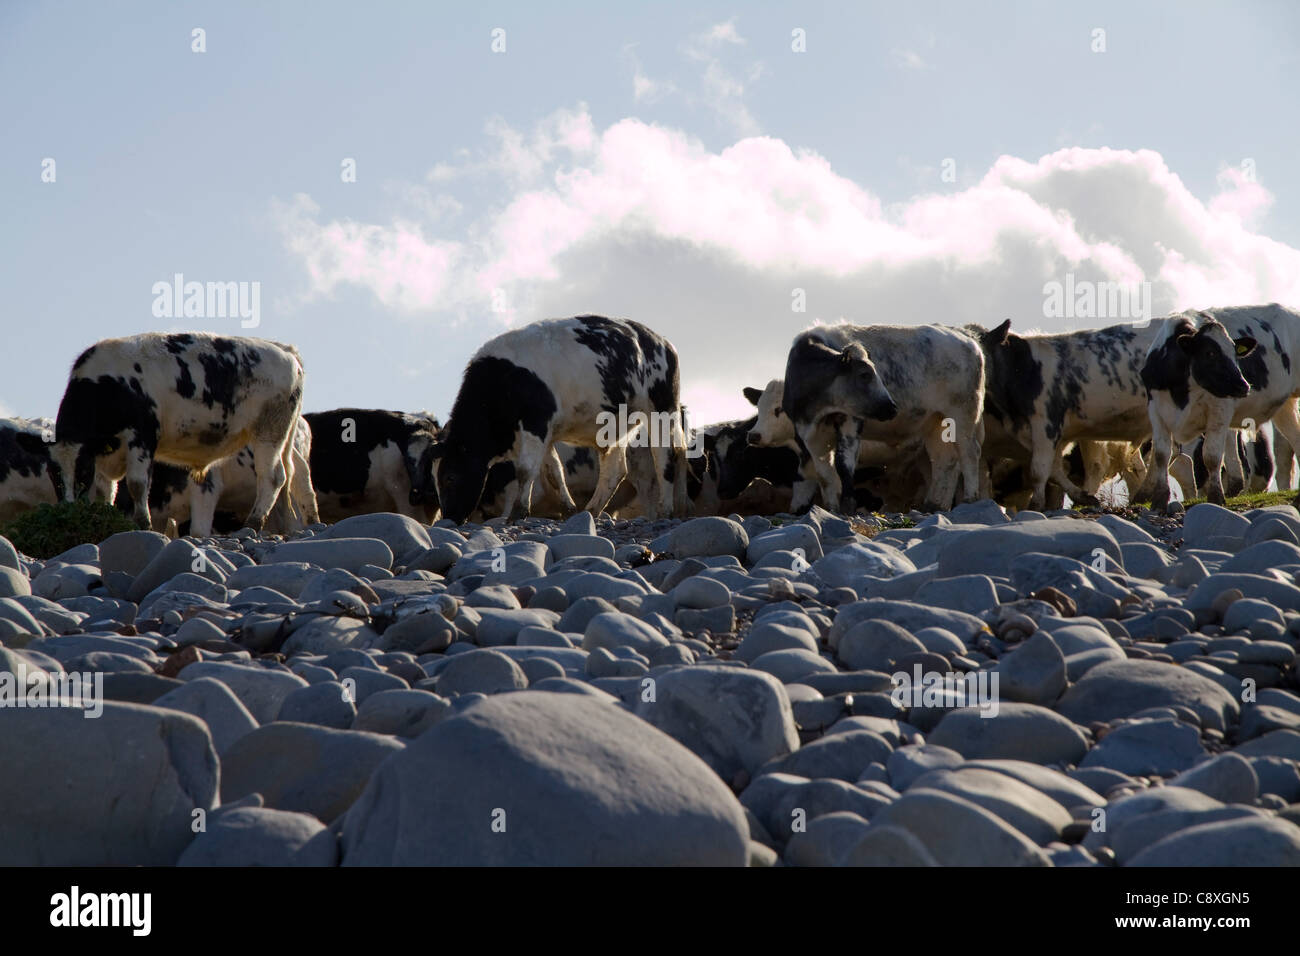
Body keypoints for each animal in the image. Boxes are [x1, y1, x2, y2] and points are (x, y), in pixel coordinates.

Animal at [31, 332, 305, 530]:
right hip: (282, 437)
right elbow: (107, 490)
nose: (68, 508)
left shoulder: (141, 437)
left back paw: (254, 523)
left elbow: (137, 484)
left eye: (82, 470)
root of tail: (285, 349)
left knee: (272, 477)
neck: (109, 385)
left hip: (268, 432)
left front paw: (143, 524)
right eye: (53, 473)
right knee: (287, 480)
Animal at [428, 316, 691, 522]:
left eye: (450, 477)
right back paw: (591, 510)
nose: (449, 518)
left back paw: (666, 510)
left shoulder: (536, 422)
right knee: (615, 470)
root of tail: (663, 342)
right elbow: (554, 472)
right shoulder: (545, 432)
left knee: (666, 457)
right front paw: (568, 508)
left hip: (661, 409)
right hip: (617, 425)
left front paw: (518, 512)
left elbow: (526, 470)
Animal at [967, 319, 1159, 515]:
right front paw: (1083, 497)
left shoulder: (1046, 426)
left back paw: (1146, 494)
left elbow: (1040, 470)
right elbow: (1054, 470)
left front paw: (1037, 506)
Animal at [1138, 308, 1300, 515]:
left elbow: (1212, 456)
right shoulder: (1156, 411)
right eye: (1210, 353)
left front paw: (1216, 498)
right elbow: (1161, 455)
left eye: (1235, 353)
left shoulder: (1219, 412)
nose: (1243, 385)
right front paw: (1159, 500)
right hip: (1285, 407)